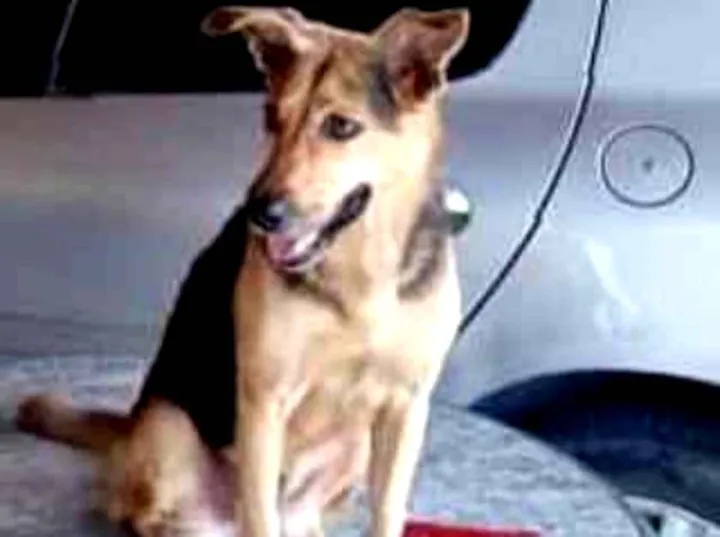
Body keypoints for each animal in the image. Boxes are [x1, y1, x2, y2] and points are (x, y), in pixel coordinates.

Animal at [15, 6, 470, 537]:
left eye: (340, 126)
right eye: (272, 117)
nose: (259, 213)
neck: (360, 274)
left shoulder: (405, 408)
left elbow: (387, 514)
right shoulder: (264, 400)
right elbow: (259, 513)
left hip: (355, 446)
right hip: (167, 432)